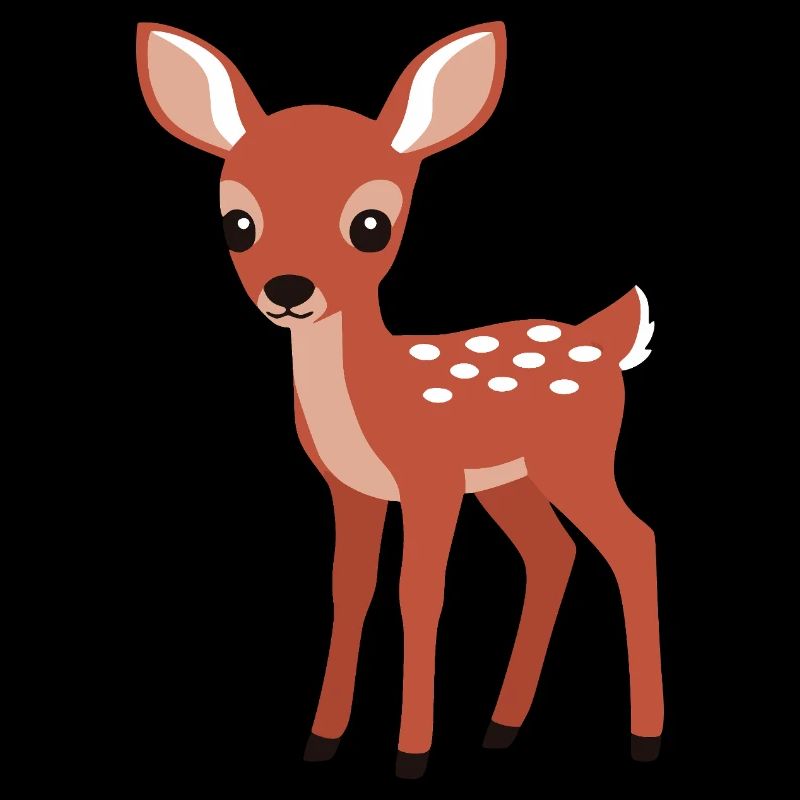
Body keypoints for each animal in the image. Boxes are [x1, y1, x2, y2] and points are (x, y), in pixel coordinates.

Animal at [136, 21, 663, 778]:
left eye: (371, 225)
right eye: (238, 222)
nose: (288, 289)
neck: (369, 398)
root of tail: (606, 338)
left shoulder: (430, 479)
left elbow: (419, 592)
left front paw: (411, 751)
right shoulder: (351, 489)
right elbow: (350, 588)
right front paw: (323, 738)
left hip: (575, 456)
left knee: (633, 542)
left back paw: (644, 737)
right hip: (509, 480)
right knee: (552, 554)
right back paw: (501, 724)